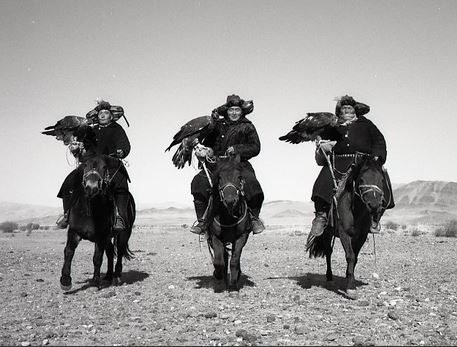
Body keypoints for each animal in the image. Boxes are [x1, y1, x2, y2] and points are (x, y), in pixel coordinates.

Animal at [58, 155, 134, 290]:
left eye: (104, 167)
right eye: (85, 165)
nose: (91, 187)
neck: (90, 210)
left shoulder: (101, 236)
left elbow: (97, 258)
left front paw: (95, 281)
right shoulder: (74, 232)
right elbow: (68, 251)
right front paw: (65, 280)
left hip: (124, 234)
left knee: (119, 251)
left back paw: (117, 276)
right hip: (108, 238)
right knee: (110, 251)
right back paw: (108, 276)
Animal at [206, 156, 251, 294]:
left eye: (239, 177)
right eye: (220, 178)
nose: (230, 201)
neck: (229, 218)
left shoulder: (241, 237)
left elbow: (234, 260)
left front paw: (233, 286)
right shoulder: (215, 237)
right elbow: (219, 261)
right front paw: (218, 279)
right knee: (223, 257)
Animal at [304, 156, 386, 300]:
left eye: (381, 180)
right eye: (361, 179)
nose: (374, 205)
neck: (355, 211)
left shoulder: (361, 236)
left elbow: (355, 258)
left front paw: (349, 280)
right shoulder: (344, 234)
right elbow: (350, 256)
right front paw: (351, 288)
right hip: (327, 233)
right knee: (328, 252)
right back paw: (329, 278)